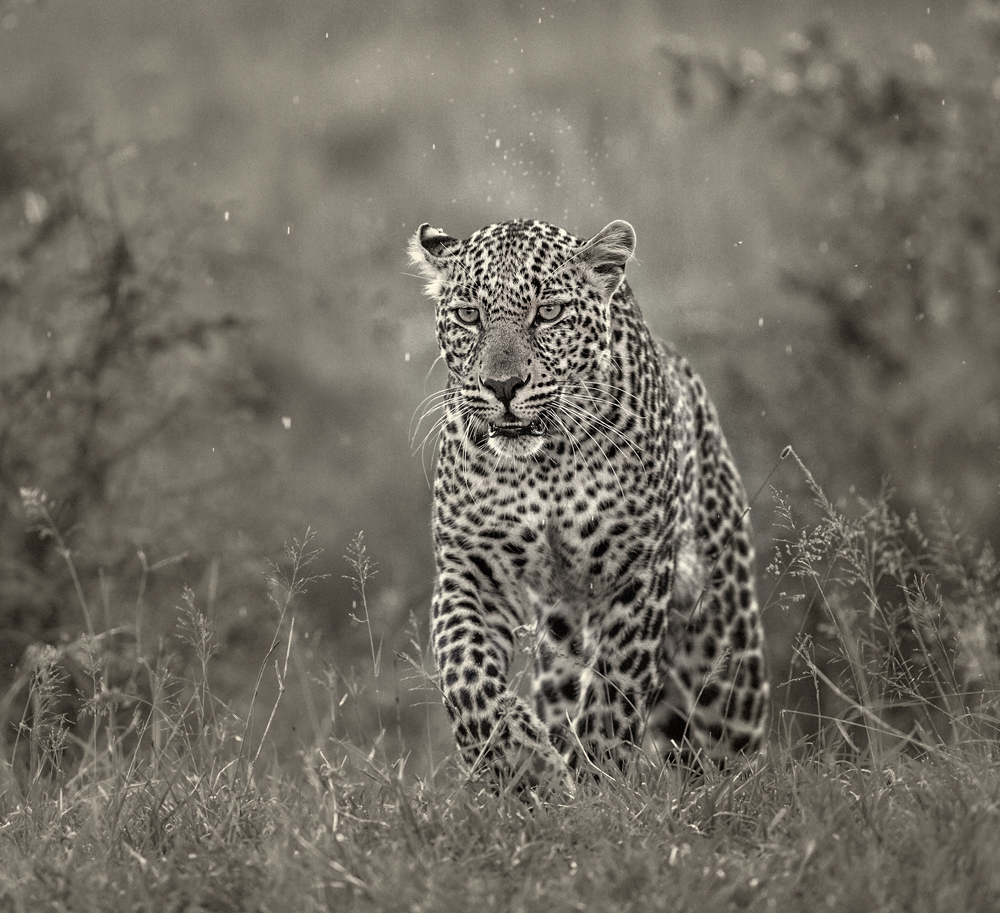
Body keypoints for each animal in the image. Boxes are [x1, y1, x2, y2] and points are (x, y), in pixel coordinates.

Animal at [409, 217, 769, 792]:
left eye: (548, 312)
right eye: (469, 316)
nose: (503, 386)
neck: (546, 461)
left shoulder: (635, 574)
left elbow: (612, 696)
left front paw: (599, 788)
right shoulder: (472, 570)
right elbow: (466, 679)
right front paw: (526, 767)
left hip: (721, 644)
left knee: (727, 744)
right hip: (559, 638)